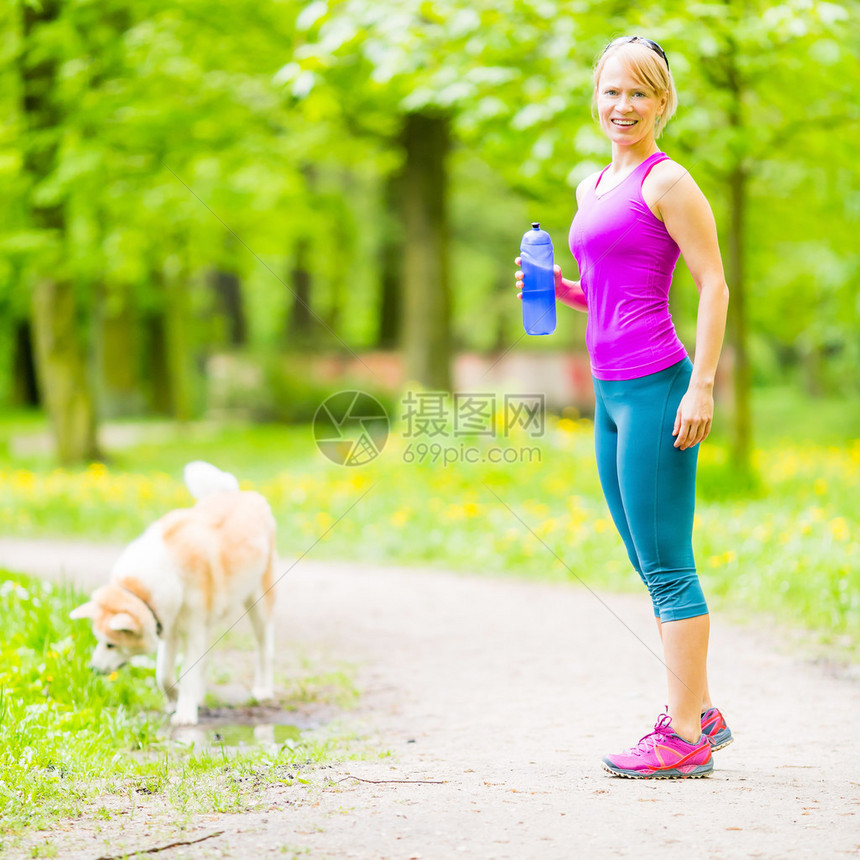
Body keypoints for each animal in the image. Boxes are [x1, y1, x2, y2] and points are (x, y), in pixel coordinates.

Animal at [72, 460, 278, 724]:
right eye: (99, 640)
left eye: (110, 644)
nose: (93, 668)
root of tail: (238, 494)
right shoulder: (167, 628)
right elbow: (164, 674)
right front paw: (175, 700)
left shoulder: (192, 631)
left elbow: (186, 675)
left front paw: (185, 713)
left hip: (258, 605)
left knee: (264, 649)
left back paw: (263, 689)